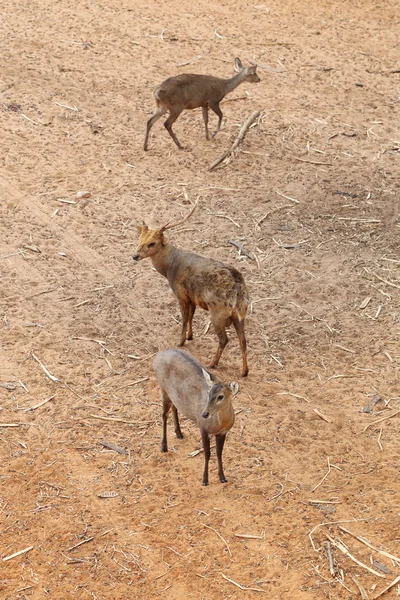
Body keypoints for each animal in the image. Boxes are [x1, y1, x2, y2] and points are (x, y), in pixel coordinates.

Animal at [133, 204, 248, 378]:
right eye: (140, 239)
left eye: (152, 243)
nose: (135, 256)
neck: (169, 268)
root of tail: (238, 286)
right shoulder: (192, 297)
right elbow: (191, 316)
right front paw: (190, 336)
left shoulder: (180, 293)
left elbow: (184, 317)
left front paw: (180, 341)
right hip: (241, 312)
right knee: (243, 340)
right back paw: (244, 372)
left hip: (218, 311)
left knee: (224, 339)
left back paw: (213, 363)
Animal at [152, 350, 236, 486]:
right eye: (209, 393)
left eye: (221, 396)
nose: (204, 414)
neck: (220, 423)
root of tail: (157, 356)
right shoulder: (203, 428)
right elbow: (207, 454)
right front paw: (205, 480)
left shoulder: (223, 433)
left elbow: (219, 453)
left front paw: (222, 477)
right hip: (163, 389)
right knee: (164, 415)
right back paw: (164, 447)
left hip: (174, 395)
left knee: (175, 408)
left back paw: (179, 433)